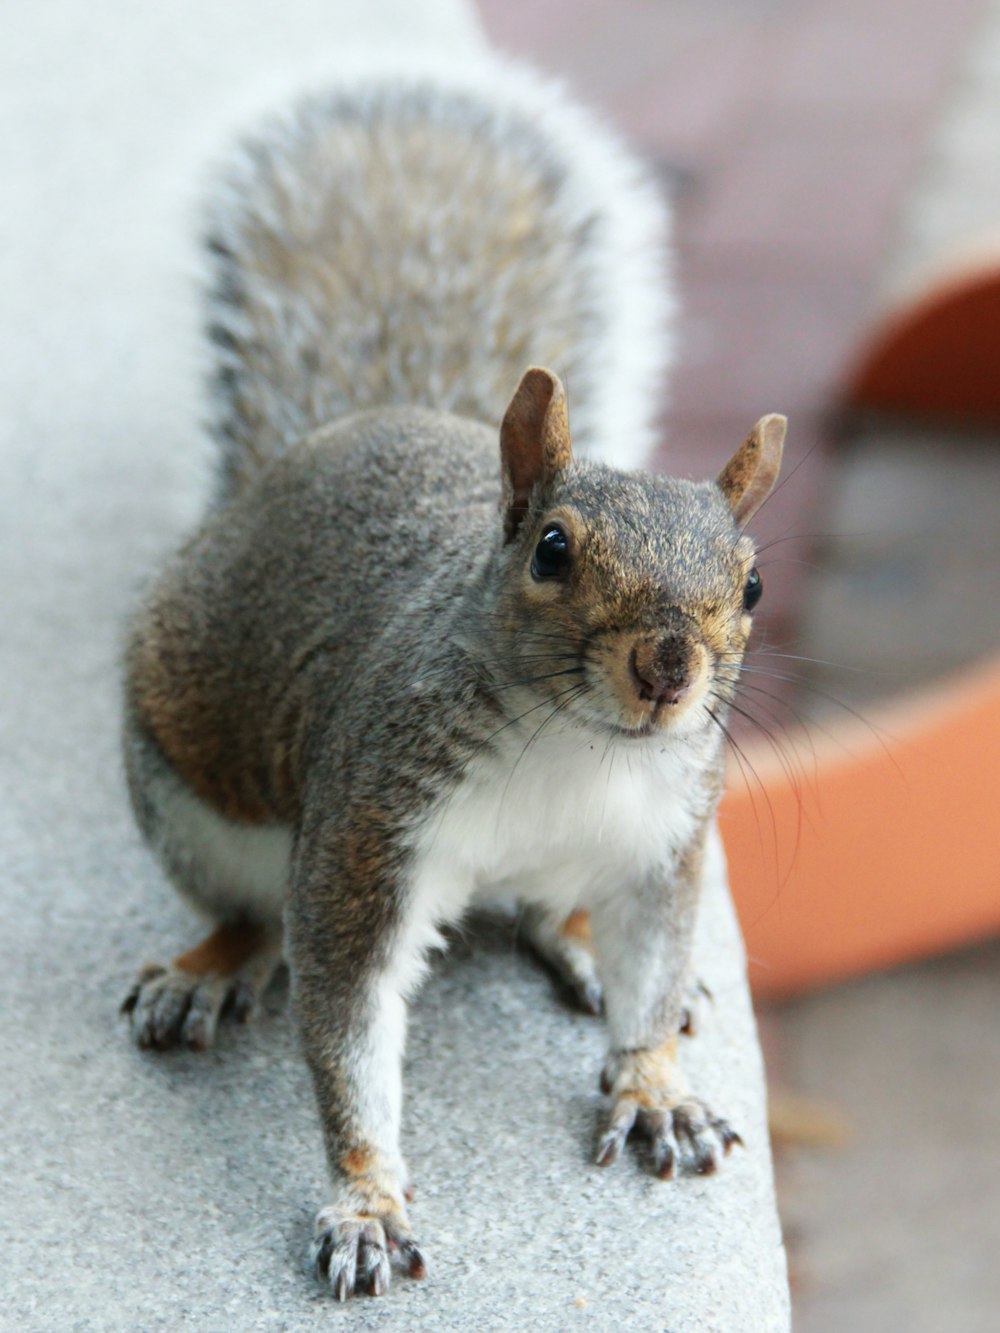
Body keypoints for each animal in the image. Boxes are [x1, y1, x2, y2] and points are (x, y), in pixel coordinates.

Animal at [121, 57, 789, 1295]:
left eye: (754, 584)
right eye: (553, 552)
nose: (667, 670)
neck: (571, 745)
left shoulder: (661, 845)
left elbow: (651, 960)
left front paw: (653, 1086)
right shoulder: (365, 834)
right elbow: (347, 1019)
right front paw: (367, 1199)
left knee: (547, 910)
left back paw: (581, 946)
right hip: (192, 806)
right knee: (250, 911)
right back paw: (213, 964)